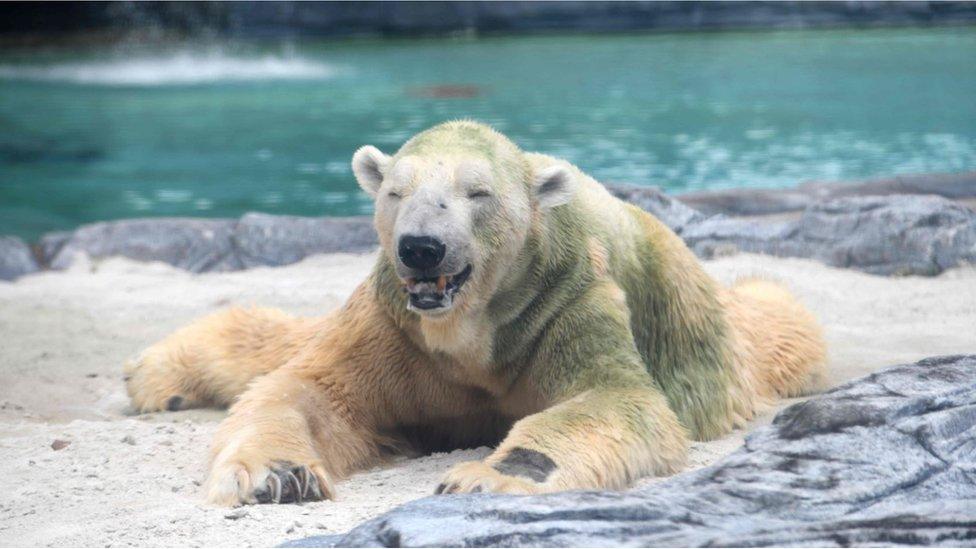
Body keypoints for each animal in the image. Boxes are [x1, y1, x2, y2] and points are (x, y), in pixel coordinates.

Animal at [122, 120, 824, 506]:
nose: (421, 246)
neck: (472, 322)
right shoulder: (395, 326)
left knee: (779, 322)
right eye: (396, 191)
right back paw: (155, 376)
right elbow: (309, 390)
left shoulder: (566, 304)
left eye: (476, 193)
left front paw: (481, 479)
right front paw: (278, 476)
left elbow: (618, 398)